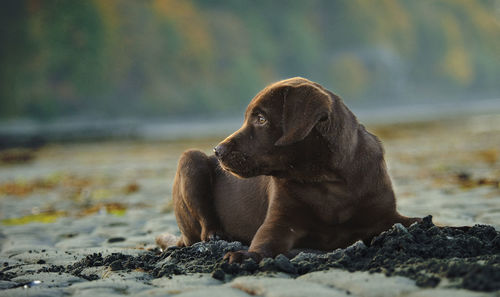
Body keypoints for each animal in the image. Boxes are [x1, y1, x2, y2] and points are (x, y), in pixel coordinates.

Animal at [158, 77, 420, 262]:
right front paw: (246, 256)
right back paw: (216, 235)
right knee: (202, 228)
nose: (217, 150)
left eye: (261, 119)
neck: (327, 181)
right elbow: (264, 242)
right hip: (190, 160)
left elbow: (415, 221)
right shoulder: (281, 221)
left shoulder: (385, 214)